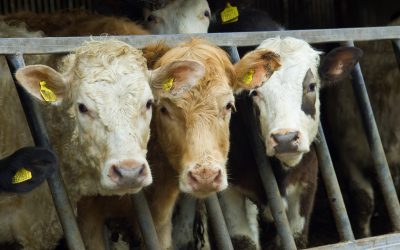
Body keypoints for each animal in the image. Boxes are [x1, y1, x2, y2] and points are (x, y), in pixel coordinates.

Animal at [222, 36, 362, 249]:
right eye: (255, 93)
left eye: (311, 86)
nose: (285, 139)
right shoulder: (230, 189)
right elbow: (244, 241)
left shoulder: (306, 184)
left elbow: (296, 237)